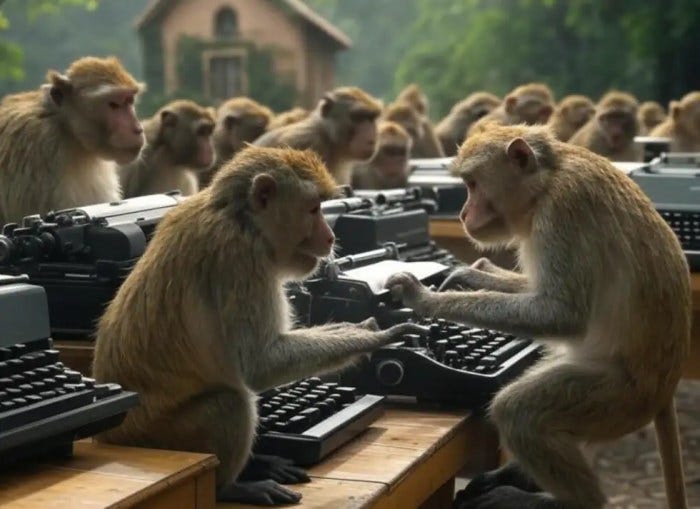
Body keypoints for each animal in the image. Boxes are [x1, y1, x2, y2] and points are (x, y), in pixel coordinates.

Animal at [92, 146, 424, 506]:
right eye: (313, 209)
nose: (331, 236)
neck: (240, 219)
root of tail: (114, 436)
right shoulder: (241, 262)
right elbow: (258, 363)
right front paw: (374, 337)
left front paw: (355, 329)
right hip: (164, 436)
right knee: (231, 402)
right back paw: (230, 486)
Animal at [385, 123, 690, 509]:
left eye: (472, 184)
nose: (463, 214)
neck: (546, 181)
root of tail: (665, 388)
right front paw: (474, 275)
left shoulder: (563, 212)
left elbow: (560, 313)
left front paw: (424, 298)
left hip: (620, 398)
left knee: (519, 410)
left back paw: (567, 500)